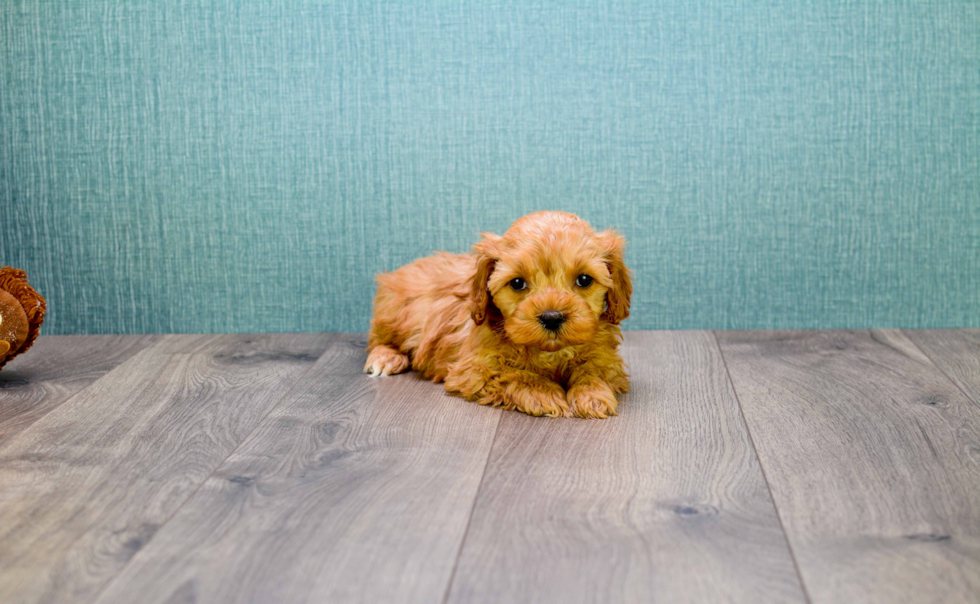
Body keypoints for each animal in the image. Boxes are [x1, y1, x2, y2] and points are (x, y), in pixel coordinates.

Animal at [364, 210, 632, 418]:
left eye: (584, 279)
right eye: (517, 283)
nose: (552, 317)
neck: (549, 353)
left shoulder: (606, 359)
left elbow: (593, 370)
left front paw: (592, 394)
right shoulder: (473, 369)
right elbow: (513, 374)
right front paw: (543, 393)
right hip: (393, 313)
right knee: (378, 339)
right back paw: (385, 358)